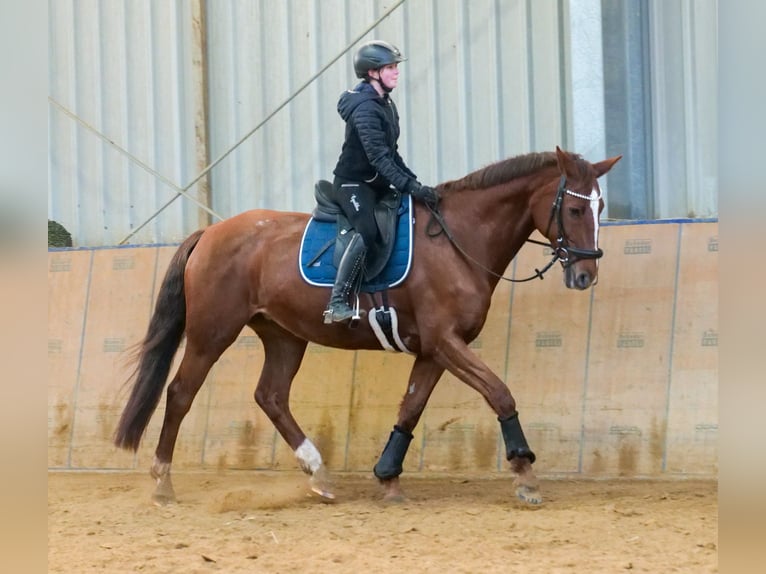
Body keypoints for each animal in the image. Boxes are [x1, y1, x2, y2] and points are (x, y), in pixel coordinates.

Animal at [114, 146, 620, 506]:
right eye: (575, 210)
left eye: (600, 209)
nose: (585, 275)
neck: (459, 239)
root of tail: (210, 233)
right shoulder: (445, 341)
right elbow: (499, 392)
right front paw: (526, 475)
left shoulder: (433, 350)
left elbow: (410, 408)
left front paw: (388, 477)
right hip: (212, 332)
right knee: (181, 393)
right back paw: (163, 484)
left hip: (284, 335)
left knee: (271, 396)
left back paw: (319, 475)